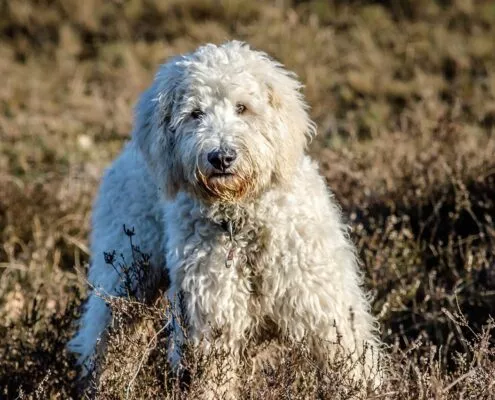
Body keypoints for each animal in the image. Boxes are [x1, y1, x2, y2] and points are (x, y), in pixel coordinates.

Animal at [69, 40, 384, 390]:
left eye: (242, 107)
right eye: (195, 114)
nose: (221, 157)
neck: (243, 220)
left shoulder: (325, 309)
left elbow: (350, 366)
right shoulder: (213, 319)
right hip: (126, 274)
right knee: (105, 338)